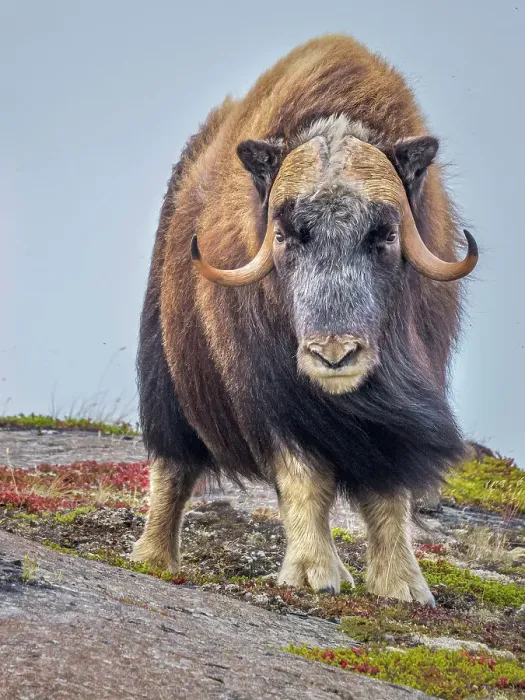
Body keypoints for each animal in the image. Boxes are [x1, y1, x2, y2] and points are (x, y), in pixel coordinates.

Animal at [131, 34, 478, 605]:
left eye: (384, 234)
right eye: (287, 234)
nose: (333, 355)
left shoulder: (397, 410)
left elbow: (389, 494)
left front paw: (403, 588)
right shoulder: (271, 400)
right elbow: (303, 477)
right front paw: (316, 574)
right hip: (164, 373)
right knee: (172, 466)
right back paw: (153, 559)